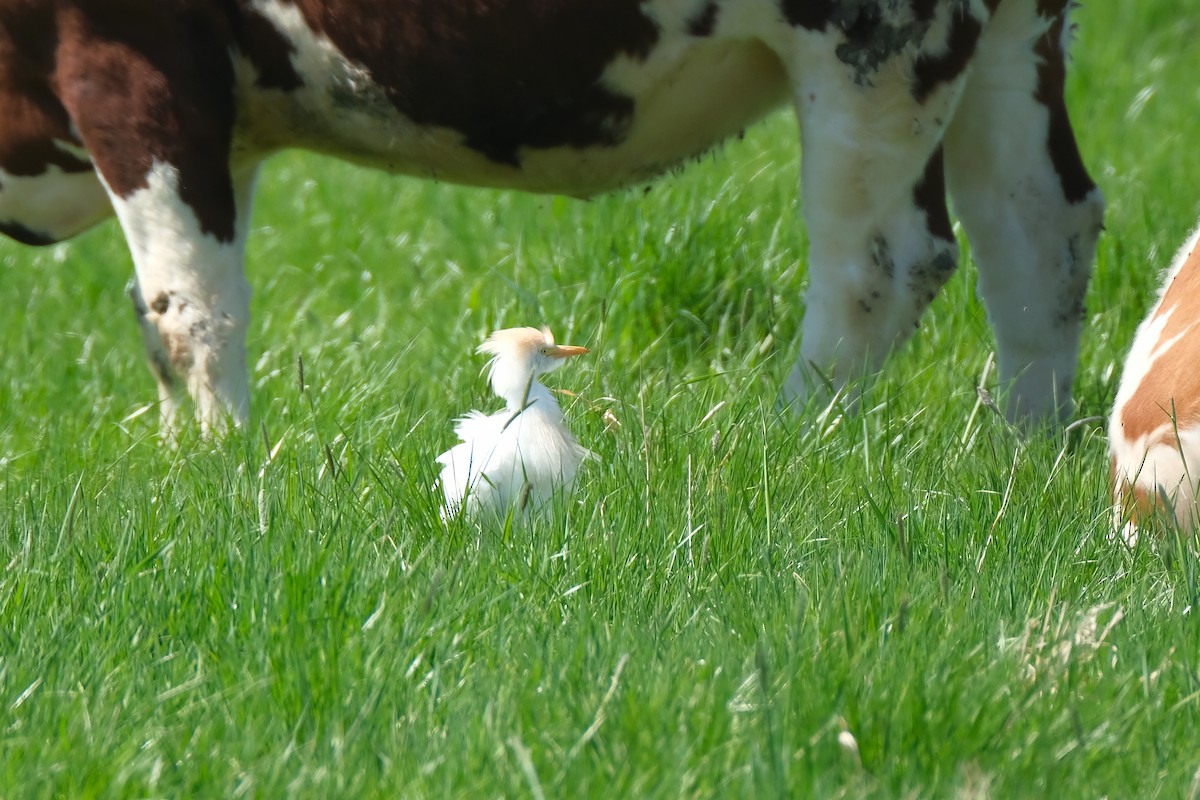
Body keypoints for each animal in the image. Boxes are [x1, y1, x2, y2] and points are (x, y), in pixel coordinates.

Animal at [0, 0, 1103, 435]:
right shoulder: (224, 119)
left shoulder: (130, 61)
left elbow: (188, 311)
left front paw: (218, 468)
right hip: (1013, 39)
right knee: (1041, 234)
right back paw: (1025, 440)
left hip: (874, 46)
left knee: (881, 263)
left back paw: (789, 434)